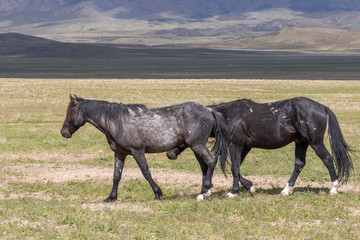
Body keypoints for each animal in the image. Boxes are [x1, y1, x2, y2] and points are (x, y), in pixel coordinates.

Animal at [60, 94, 226, 202]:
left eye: (69, 112)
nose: (64, 132)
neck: (117, 122)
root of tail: (209, 110)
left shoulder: (137, 151)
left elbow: (146, 172)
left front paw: (158, 194)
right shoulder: (120, 154)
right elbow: (116, 176)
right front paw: (111, 197)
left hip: (198, 145)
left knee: (211, 161)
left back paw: (205, 192)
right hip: (195, 147)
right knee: (204, 167)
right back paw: (203, 192)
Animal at [169, 97, 354, 197]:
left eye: (181, 131)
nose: (170, 154)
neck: (228, 116)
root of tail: (322, 107)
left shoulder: (235, 145)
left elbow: (235, 168)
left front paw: (233, 192)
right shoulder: (245, 147)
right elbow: (237, 167)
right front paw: (250, 187)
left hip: (315, 142)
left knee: (328, 159)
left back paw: (334, 188)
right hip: (301, 142)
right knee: (299, 164)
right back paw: (286, 190)